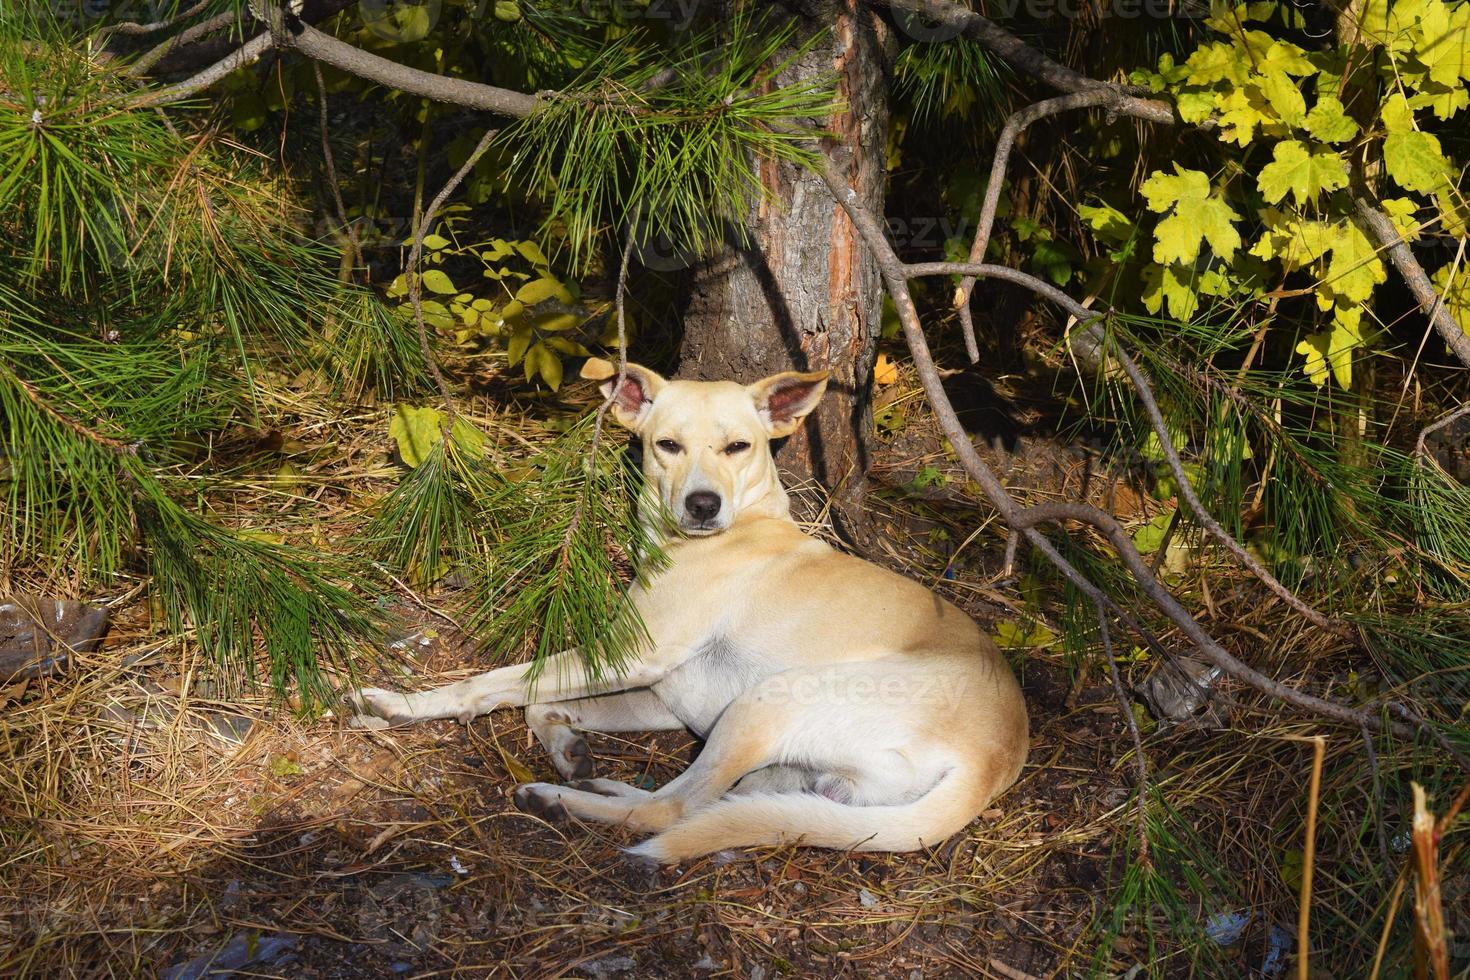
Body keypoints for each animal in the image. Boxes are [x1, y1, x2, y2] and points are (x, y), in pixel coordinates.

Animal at [349, 364, 1029, 863]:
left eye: (739, 446)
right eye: (667, 446)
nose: (703, 505)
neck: (735, 528)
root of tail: (994, 758)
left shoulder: (634, 653)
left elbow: (499, 682)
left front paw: (403, 705)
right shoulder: (661, 691)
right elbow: (541, 699)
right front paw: (569, 747)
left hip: (766, 704)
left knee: (669, 812)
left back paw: (557, 799)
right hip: (780, 770)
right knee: (704, 802)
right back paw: (591, 784)